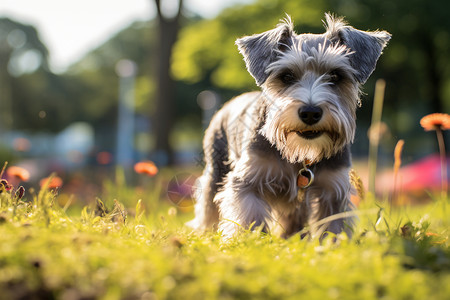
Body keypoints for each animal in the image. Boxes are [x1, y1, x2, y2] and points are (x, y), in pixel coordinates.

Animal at [186, 13, 390, 239]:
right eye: (287, 76)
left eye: (335, 76)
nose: (310, 112)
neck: (301, 157)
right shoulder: (247, 181)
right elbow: (250, 216)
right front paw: (251, 240)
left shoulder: (333, 189)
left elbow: (333, 227)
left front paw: (333, 244)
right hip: (216, 170)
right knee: (208, 205)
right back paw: (204, 231)